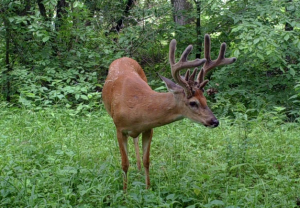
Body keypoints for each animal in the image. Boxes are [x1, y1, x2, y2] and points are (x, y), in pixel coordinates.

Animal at [102, 33, 236, 190]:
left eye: (205, 99)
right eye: (193, 103)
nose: (215, 121)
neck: (137, 109)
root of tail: (123, 57)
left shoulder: (149, 129)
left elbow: (147, 160)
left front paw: (148, 189)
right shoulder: (119, 129)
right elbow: (124, 164)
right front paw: (125, 191)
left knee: (135, 141)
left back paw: (139, 169)